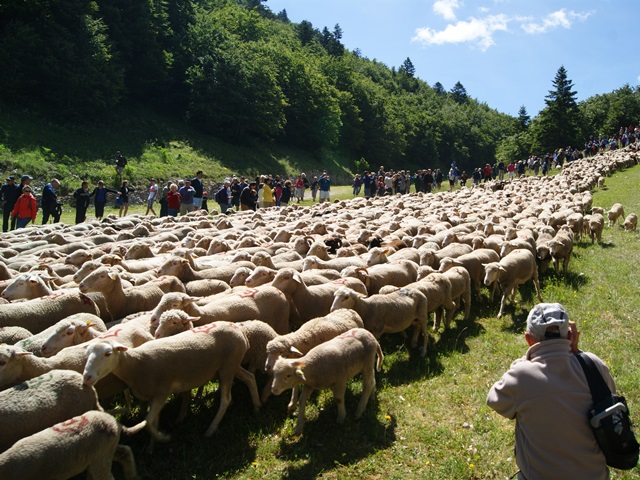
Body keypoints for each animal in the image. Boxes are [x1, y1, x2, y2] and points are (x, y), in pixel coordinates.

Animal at [84, 322, 262, 442]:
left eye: (107, 354)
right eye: (87, 355)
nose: (87, 377)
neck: (135, 364)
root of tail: (239, 331)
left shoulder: (162, 392)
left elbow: (148, 422)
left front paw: (162, 437)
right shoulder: (152, 396)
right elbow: (153, 421)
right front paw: (153, 445)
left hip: (227, 367)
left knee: (226, 399)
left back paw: (210, 430)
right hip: (231, 366)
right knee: (250, 378)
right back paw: (256, 406)